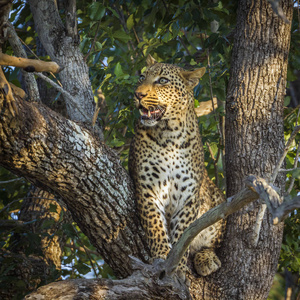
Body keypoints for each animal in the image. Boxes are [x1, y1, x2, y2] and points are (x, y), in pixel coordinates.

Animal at [129, 54, 225, 278]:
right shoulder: (148, 189)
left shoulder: (188, 196)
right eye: (142, 77)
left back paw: (207, 259)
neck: (169, 135)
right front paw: (162, 256)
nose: (138, 94)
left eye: (162, 80)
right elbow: (155, 226)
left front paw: (178, 267)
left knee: (211, 243)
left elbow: (183, 233)